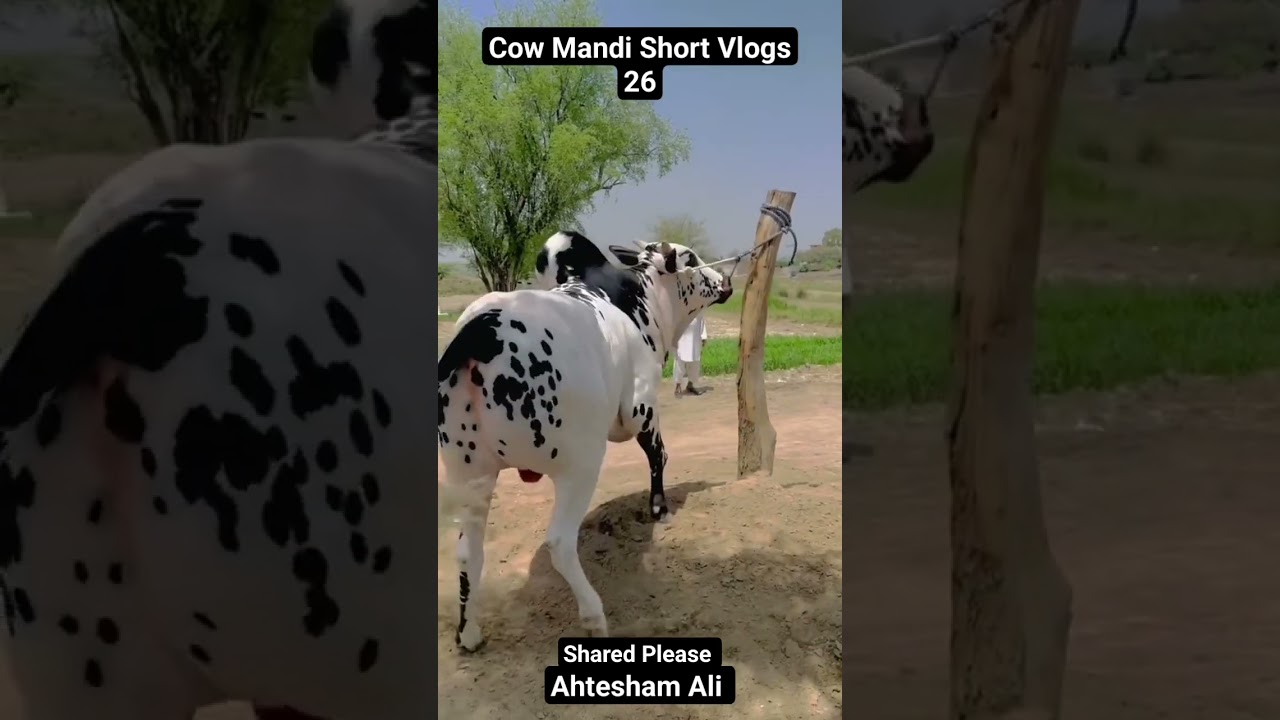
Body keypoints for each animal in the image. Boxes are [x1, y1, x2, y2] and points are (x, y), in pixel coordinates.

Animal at [439, 238, 733, 652]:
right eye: (689, 257)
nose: (725, 279)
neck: (640, 298)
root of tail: (482, 331)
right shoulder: (641, 406)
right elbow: (658, 454)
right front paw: (659, 508)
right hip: (579, 465)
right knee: (560, 542)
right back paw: (594, 615)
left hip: (469, 473)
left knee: (468, 553)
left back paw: (469, 632)